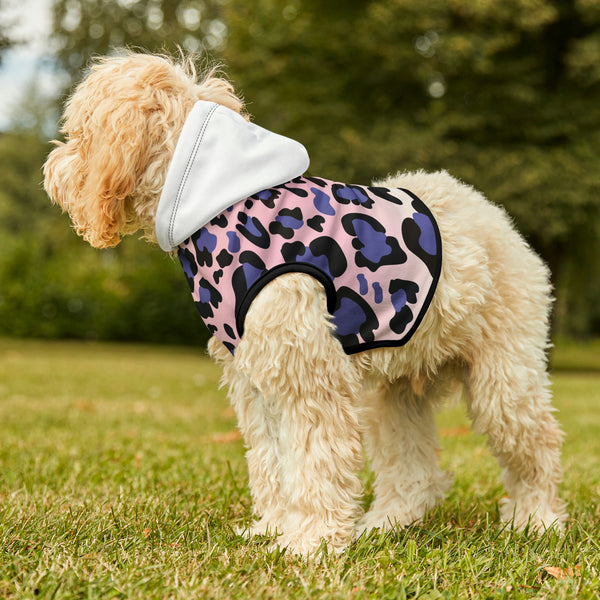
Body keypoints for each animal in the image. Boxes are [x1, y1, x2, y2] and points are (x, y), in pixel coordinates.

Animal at [43, 51, 568, 552]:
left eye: (79, 133)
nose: (51, 171)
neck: (219, 206)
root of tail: (494, 214)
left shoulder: (308, 374)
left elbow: (315, 461)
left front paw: (309, 542)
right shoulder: (256, 378)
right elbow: (272, 461)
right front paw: (274, 529)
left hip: (504, 379)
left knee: (537, 447)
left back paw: (536, 520)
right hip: (393, 393)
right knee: (414, 470)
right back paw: (386, 523)